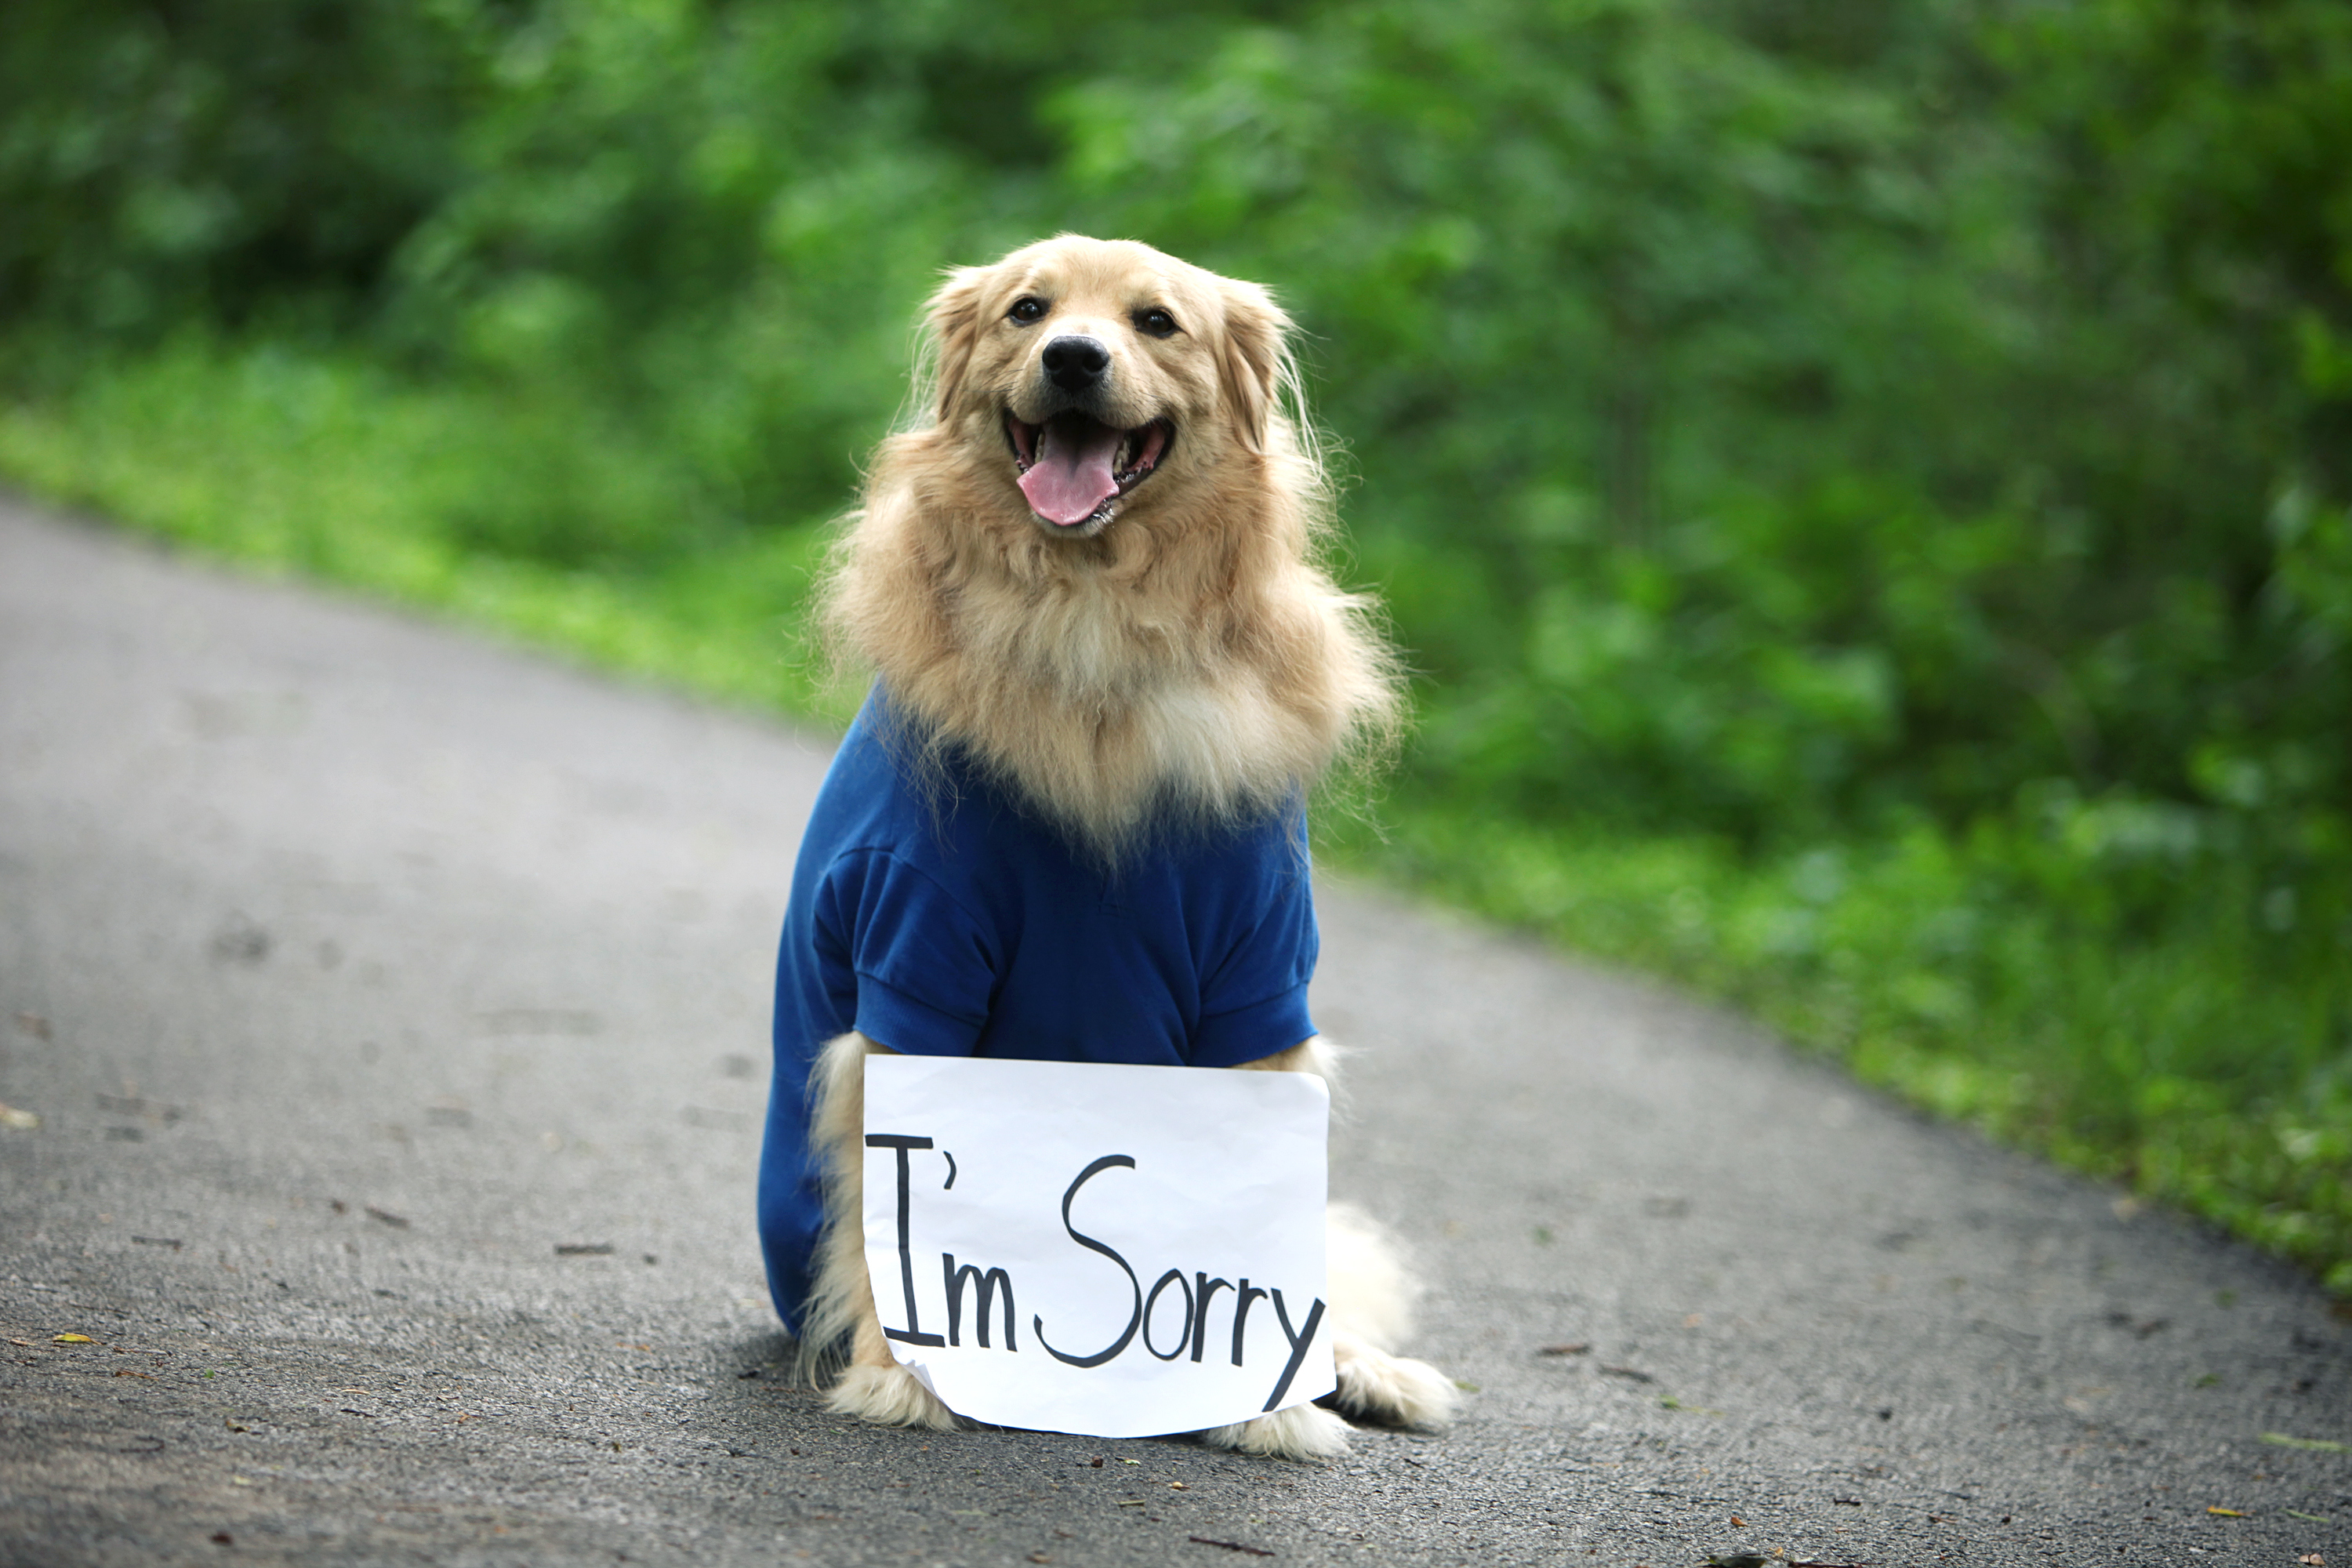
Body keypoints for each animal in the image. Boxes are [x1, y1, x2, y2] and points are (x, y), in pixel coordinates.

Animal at [753, 232, 1449, 1457]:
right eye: (1029, 311)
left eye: (1156, 321)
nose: (1074, 358)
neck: (1090, 620)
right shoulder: (911, 963)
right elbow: (894, 1209)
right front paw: (904, 1370)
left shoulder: (1259, 987)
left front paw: (1267, 1398)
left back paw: (1361, 1373)